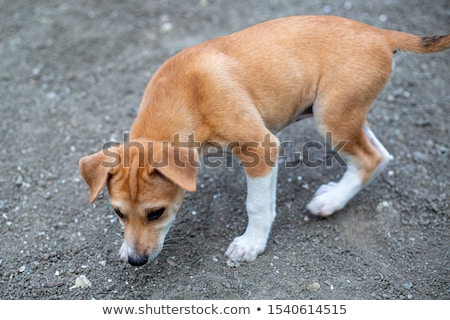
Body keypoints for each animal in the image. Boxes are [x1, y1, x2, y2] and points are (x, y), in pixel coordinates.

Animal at [79, 15, 448, 264]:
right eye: (118, 213)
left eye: (156, 213)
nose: (136, 261)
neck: (185, 94)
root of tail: (379, 33)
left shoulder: (261, 148)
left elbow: (256, 205)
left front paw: (250, 244)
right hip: (344, 113)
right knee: (380, 154)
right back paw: (335, 195)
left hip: (332, 117)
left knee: (369, 157)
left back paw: (330, 203)